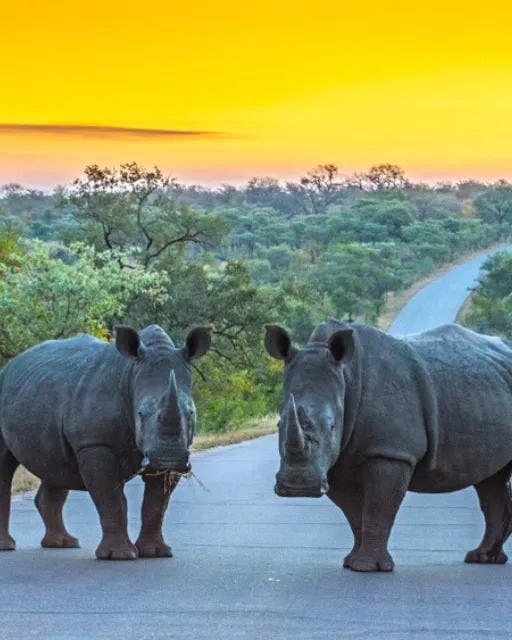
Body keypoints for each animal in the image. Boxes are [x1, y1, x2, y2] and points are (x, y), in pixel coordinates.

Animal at [0, 324, 211, 560]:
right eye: (140, 414)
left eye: (191, 413)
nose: (169, 458)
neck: (130, 375)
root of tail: (11, 364)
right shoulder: (94, 443)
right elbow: (111, 499)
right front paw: (119, 556)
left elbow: (156, 504)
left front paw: (156, 552)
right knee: (6, 463)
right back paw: (8, 547)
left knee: (55, 467)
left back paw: (63, 543)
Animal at [265, 319, 512, 572]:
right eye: (278, 424)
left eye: (332, 426)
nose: (298, 487)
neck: (347, 378)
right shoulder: (335, 460)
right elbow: (354, 513)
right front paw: (352, 562)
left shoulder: (390, 451)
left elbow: (378, 507)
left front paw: (368, 567)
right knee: (491, 481)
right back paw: (484, 558)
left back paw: (483, 558)